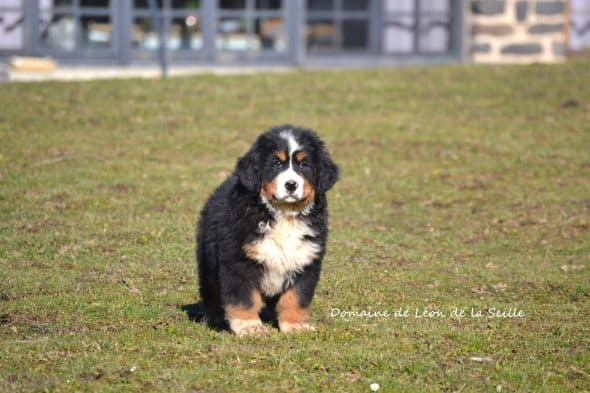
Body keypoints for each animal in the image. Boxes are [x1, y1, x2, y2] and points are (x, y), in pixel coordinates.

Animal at [197, 124, 340, 336]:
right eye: (276, 164)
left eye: (303, 165)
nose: (291, 185)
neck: (284, 214)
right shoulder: (238, 260)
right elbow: (245, 298)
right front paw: (249, 327)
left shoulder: (306, 258)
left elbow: (295, 297)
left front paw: (296, 325)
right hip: (208, 261)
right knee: (211, 292)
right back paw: (213, 318)